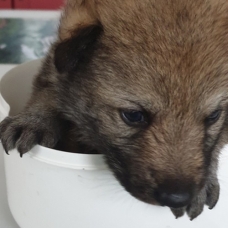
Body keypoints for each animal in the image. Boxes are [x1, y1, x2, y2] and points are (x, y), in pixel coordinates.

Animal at [0, 0, 227, 220]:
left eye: (214, 116)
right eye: (134, 116)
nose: (178, 197)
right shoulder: (56, 64)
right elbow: (49, 88)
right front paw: (34, 121)